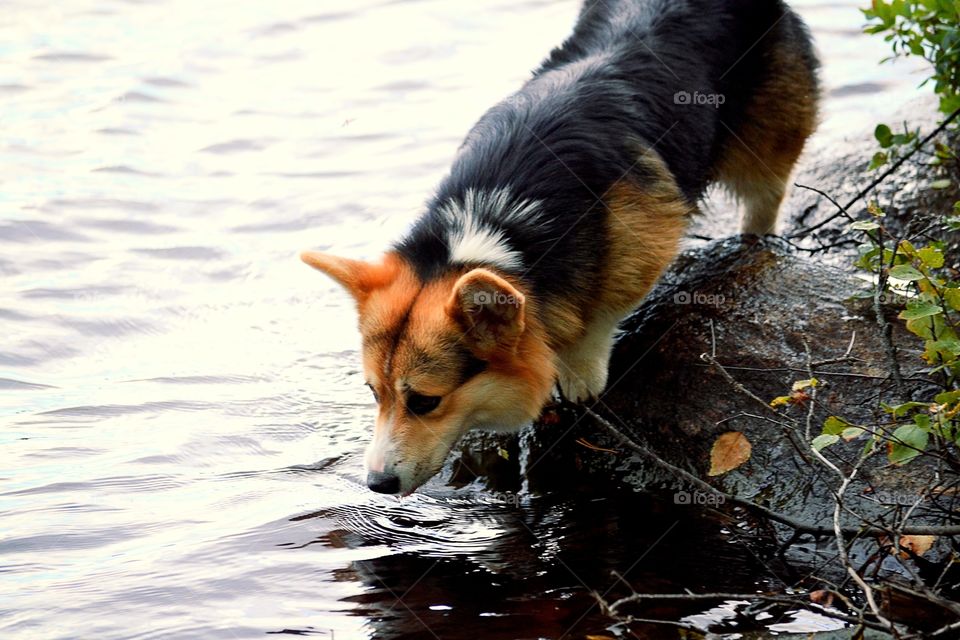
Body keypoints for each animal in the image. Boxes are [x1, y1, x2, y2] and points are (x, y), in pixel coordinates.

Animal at [300, 0, 816, 496]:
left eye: (425, 401)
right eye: (375, 393)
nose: (377, 485)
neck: (500, 226)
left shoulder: (643, 241)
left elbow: (601, 315)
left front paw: (579, 374)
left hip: (765, 139)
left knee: (764, 194)